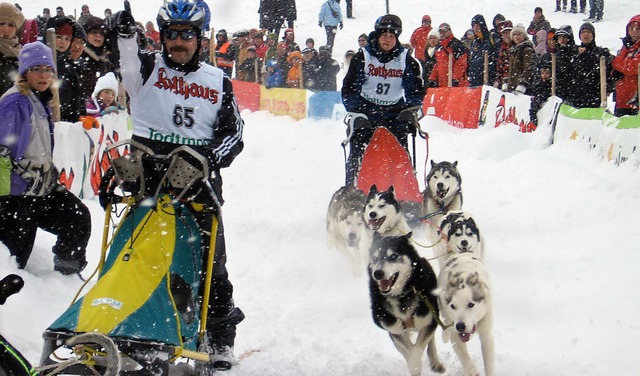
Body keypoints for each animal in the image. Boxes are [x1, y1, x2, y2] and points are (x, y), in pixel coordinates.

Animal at [368, 234, 448, 374]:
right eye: (375, 258)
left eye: (393, 256)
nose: (377, 273)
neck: (401, 295)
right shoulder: (394, 330)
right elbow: (408, 351)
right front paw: (414, 365)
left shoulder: (429, 320)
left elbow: (417, 349)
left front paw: (416, 363)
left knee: (430, 341)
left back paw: (435, 362)